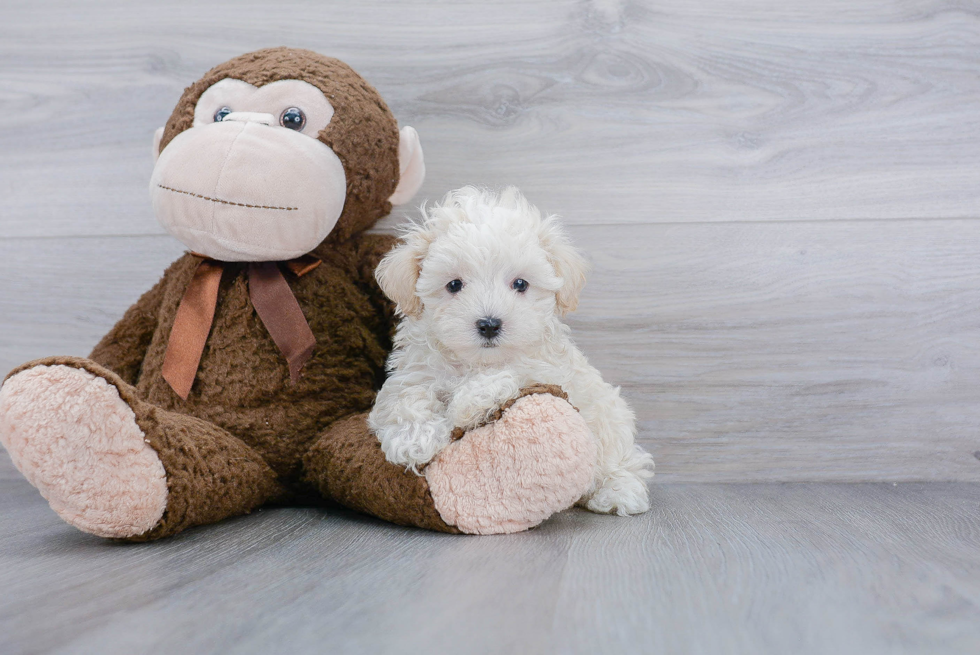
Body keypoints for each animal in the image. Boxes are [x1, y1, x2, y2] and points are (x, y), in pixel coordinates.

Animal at [372, 187, 656, 516]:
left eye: (520, 283)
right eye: (454, 285)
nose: (489, 324)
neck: (476, 361)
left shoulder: (544, 368)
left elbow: (506, 375)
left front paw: (467, 403)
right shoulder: (414, 370)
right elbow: (405, 396)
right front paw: (414, 438)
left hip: (611, 418)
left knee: (625, 458)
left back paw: (618, 492)